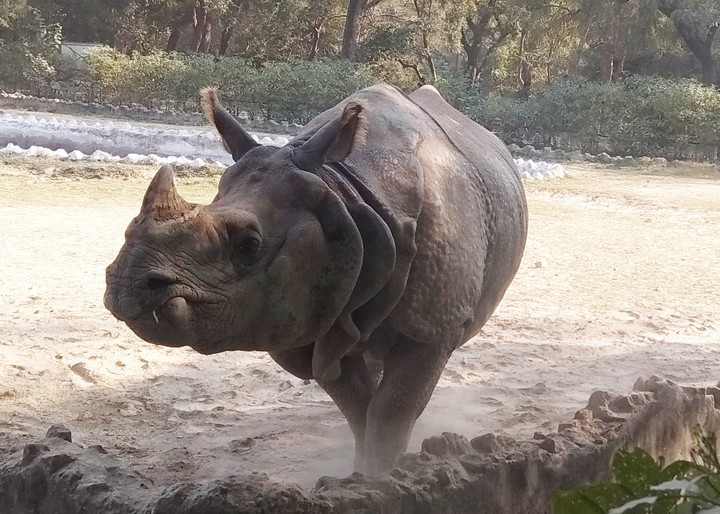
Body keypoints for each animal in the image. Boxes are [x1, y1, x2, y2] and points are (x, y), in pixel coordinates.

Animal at [104, 84, 528, 475]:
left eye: (249, 246)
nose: (128, 283)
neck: (345, 191)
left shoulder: (432, 327)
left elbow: (391, 409)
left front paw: (380, 476)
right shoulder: (318, 315)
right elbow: (358, 406)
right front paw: (361, 472)